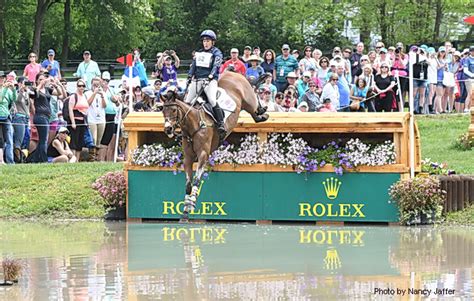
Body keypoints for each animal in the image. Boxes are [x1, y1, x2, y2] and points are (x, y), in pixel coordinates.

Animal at [160, 70, 268, 220]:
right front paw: (185, 211)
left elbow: (196, 180)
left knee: (255, 103)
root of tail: (232, 72)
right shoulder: (188, 158)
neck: (194, 124)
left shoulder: (203, 155)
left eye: (174, 111)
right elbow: (188, 184)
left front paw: (191, 205)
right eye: (163, 111)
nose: (168, 129)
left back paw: (262, 108)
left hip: (249, 100)